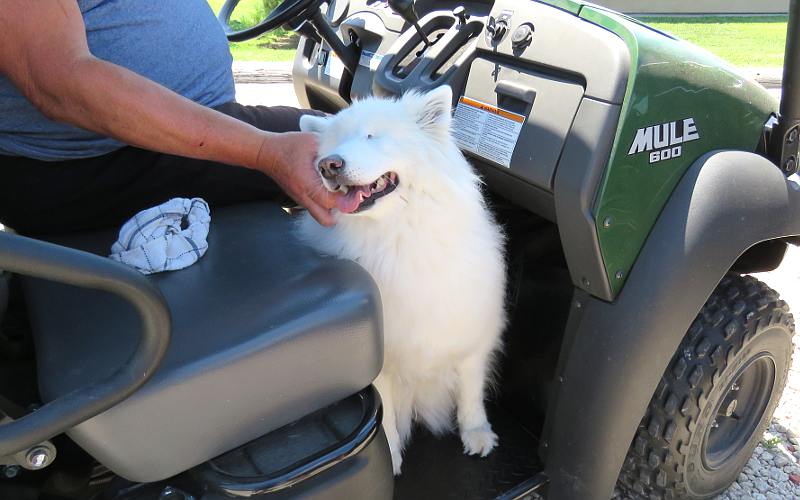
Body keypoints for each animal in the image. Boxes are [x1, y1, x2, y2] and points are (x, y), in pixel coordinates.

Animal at [294, 85, 506, 472]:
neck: (398, 236)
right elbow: (388, 417)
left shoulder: (471, 336)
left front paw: (477, 432)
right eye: (337, 141)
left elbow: (471, 391)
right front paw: (391, 457)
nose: (328, 164)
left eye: (372, 136)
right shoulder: (381, 365)